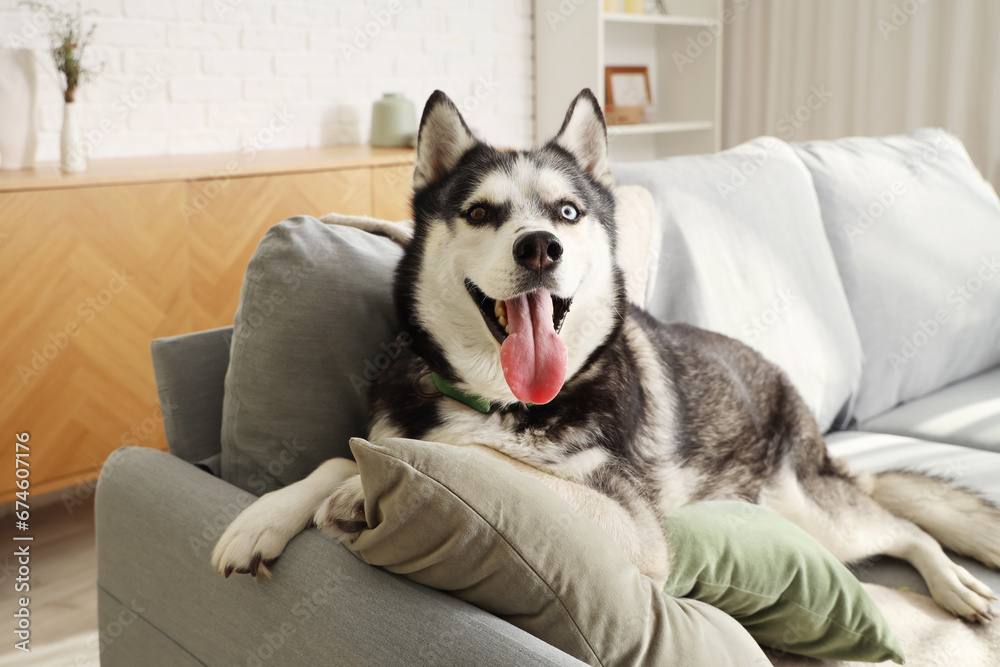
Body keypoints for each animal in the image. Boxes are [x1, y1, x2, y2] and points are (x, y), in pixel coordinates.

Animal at [215, 90, 1000, 628]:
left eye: (566, 212)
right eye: (480, 212)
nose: (540, 247)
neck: (503, 398)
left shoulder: (632, 525)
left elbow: (489, 464)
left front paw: (365, 487)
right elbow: (345, 453)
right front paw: (270, 514)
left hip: (810, 509)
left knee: (903, 526)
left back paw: (951, 581)